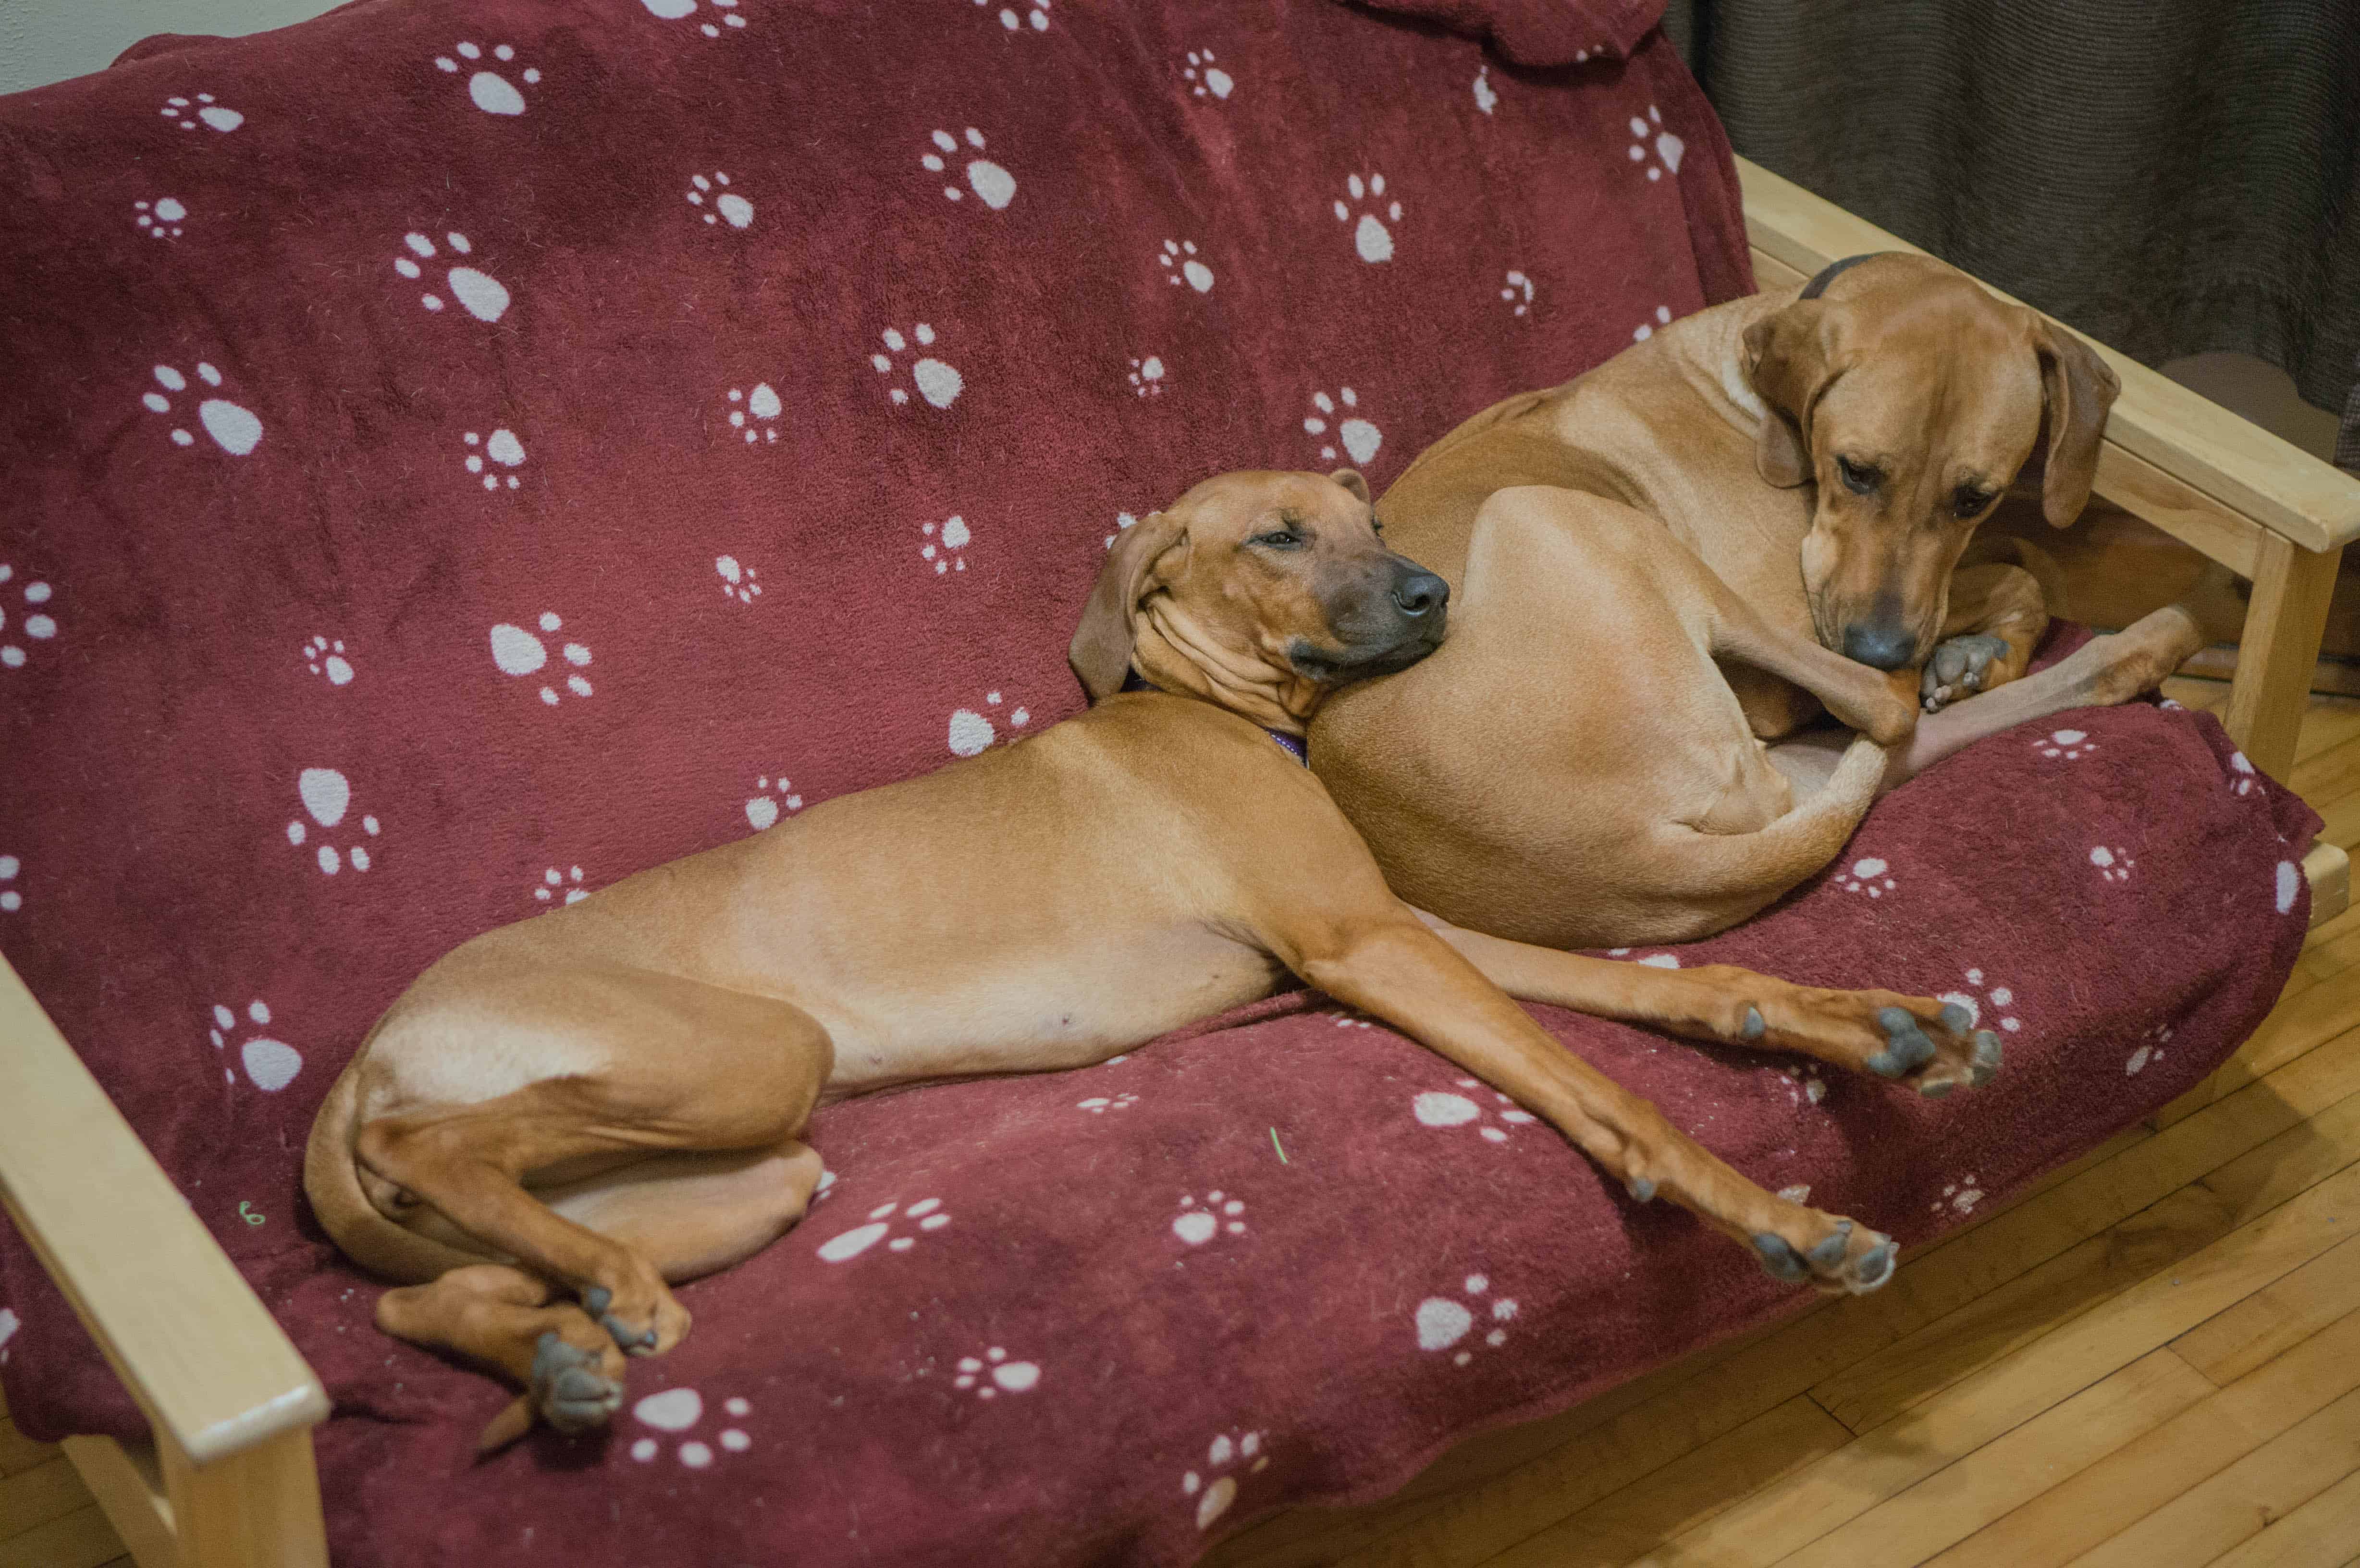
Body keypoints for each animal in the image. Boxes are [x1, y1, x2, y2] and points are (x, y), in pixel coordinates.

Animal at [295, 472, 1991, 1455]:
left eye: (1374, 520)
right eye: (1279, 536)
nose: (1434, 594)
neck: (1216, 707)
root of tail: (366, 1053)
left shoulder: (1400, 934)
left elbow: (1672, 987)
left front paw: (1865, 1023)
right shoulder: (1365, 947)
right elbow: (1609, 1090)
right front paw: (1783, 1223)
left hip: (743, 1172)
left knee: (427, 1295)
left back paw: (561, 1353)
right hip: (738, 1059)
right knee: (437, 1146)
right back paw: (573, 1313)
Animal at [1321, 251, 2218, 992]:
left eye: (1976, 497)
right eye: (1856, 471)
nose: (1880, 645)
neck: (1761, 404)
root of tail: (1613, 853)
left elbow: (2015, 573)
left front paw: (1978, 656)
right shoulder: (1803, 614)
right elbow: (2005, 580)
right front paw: (1965, 652)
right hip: (1556, 514)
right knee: (1886, 712)